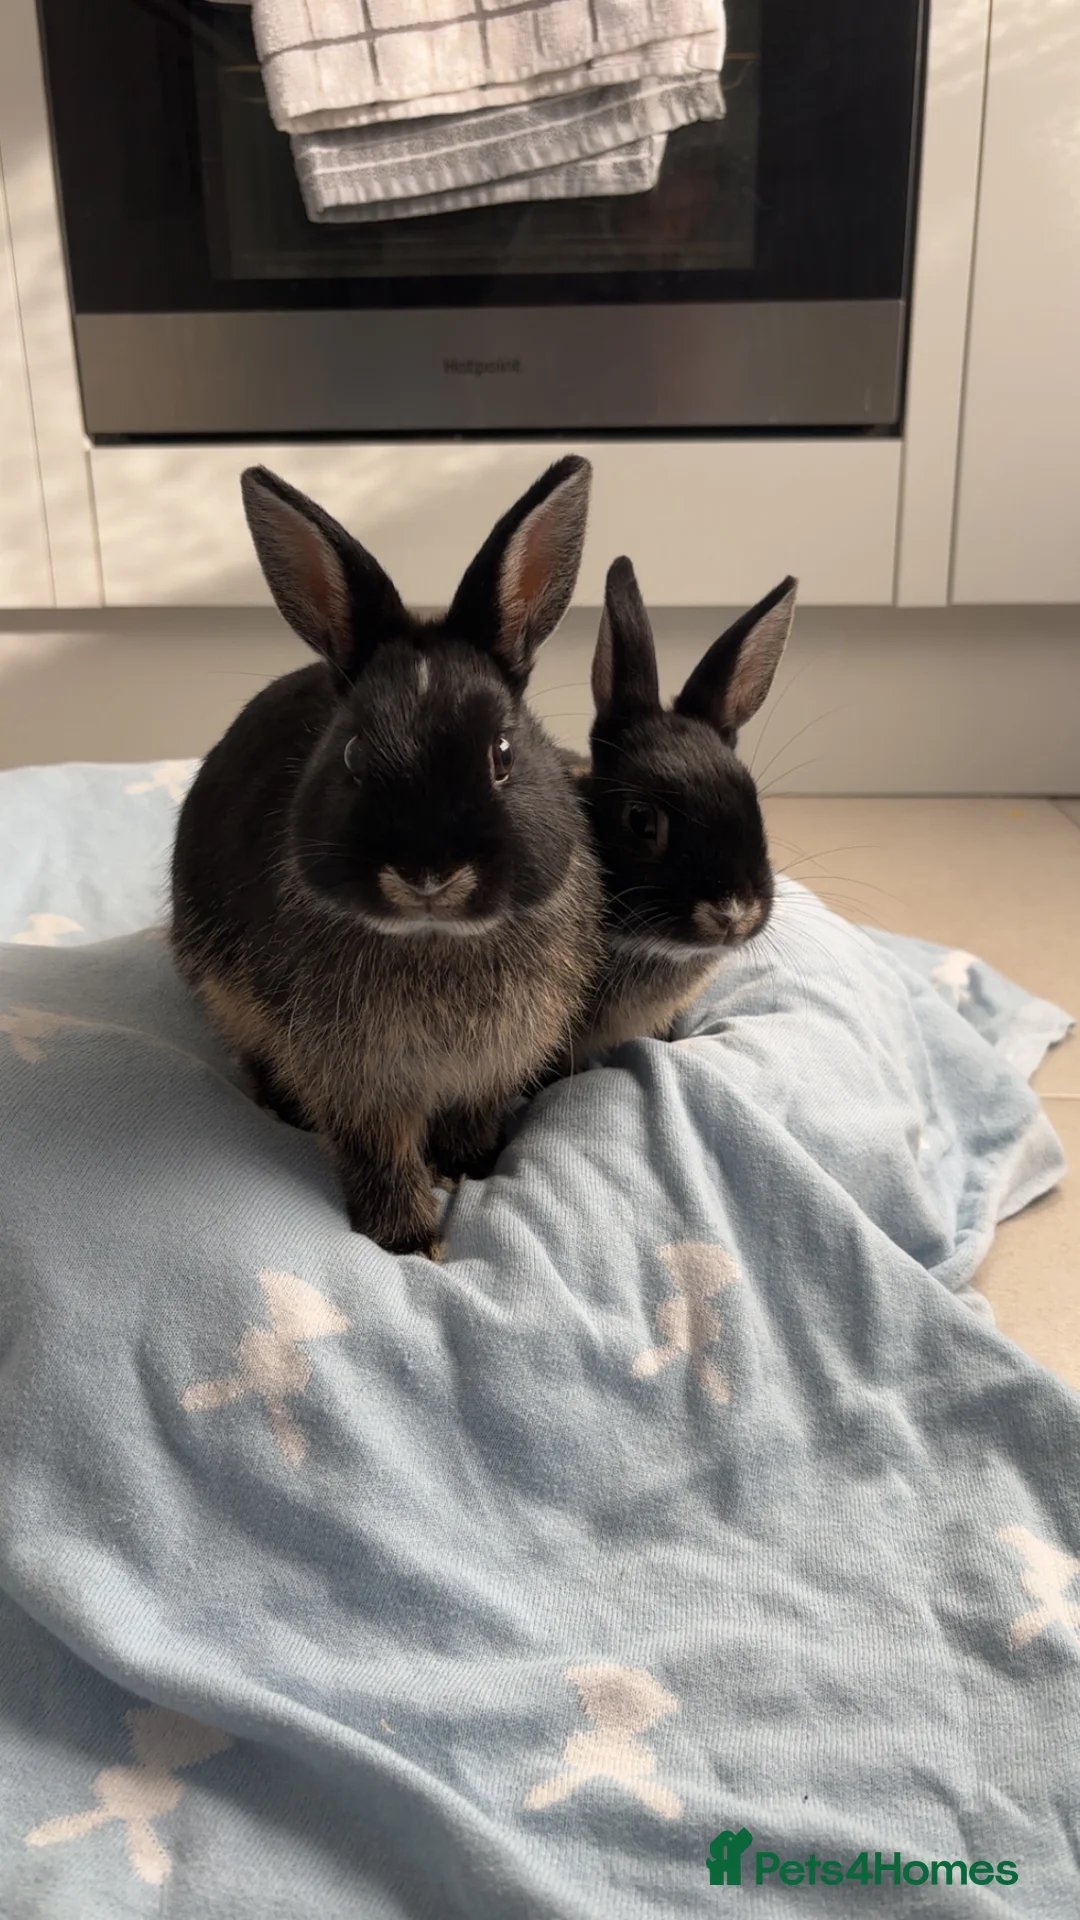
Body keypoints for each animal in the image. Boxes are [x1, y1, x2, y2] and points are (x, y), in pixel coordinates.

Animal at [171, 456, 604, 1256]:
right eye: (351, 756)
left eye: (503, 754)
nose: (427, 872)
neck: (433, 939)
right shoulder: (358, 1083)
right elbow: (379, 1153)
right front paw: (408, 1240)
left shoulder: (489, 1068)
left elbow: (468, 1120)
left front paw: (470, 1169)